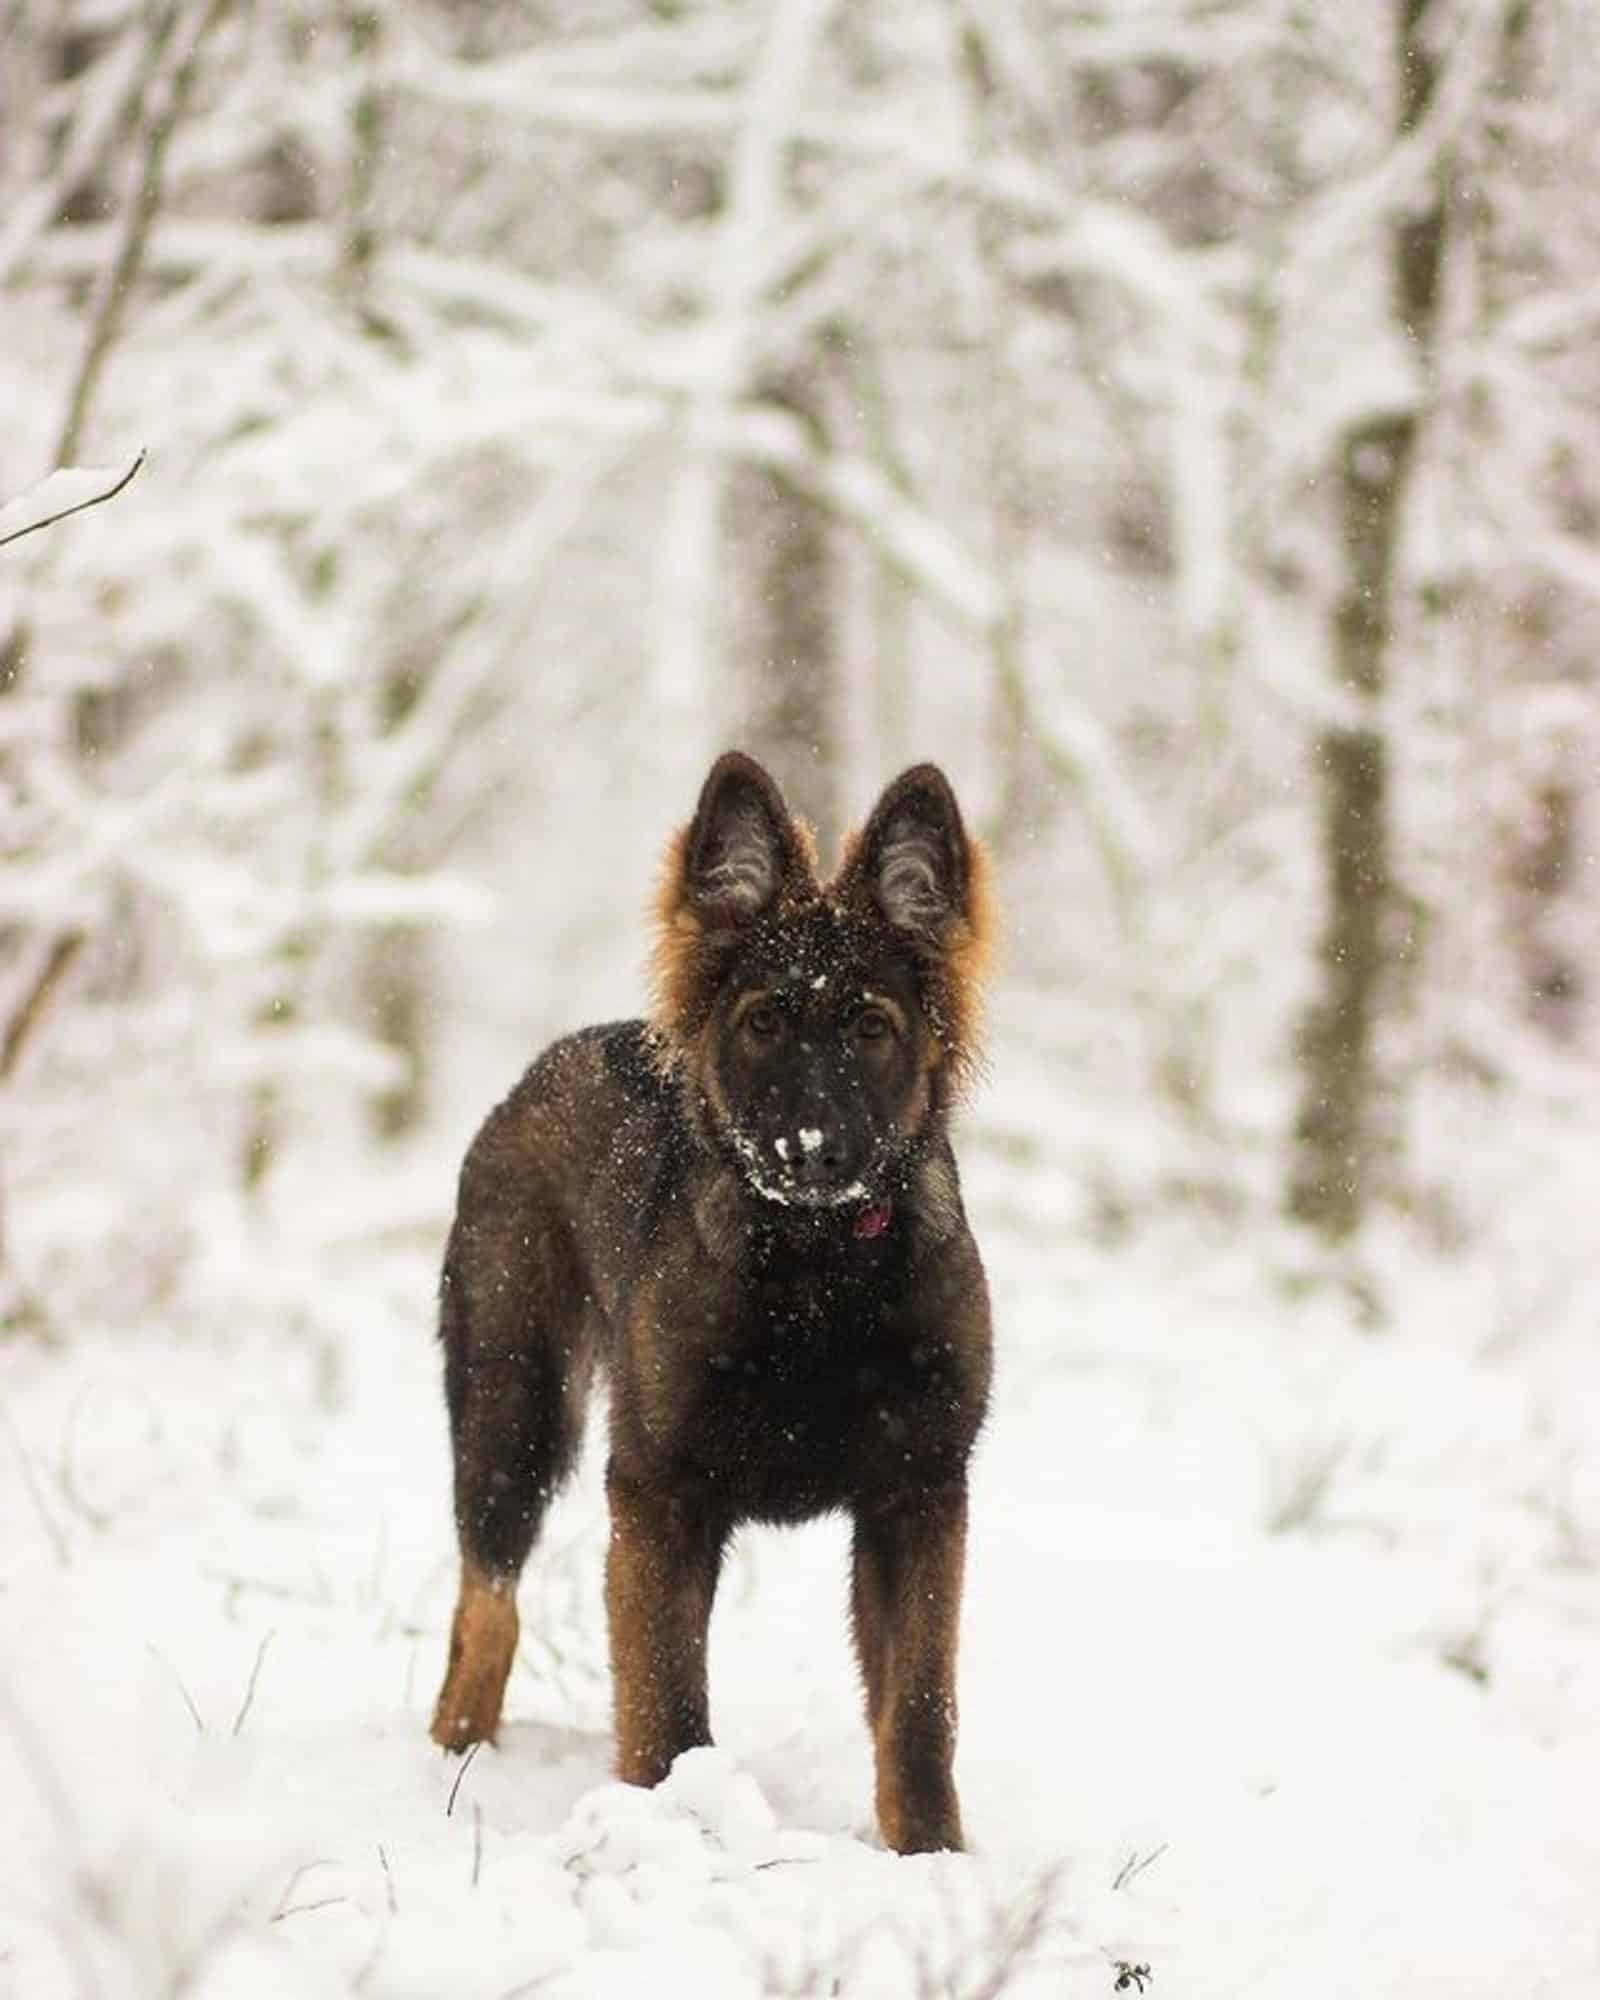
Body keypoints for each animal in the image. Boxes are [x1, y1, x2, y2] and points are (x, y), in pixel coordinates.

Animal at [432, 752, 992, 1856]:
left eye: (871, 1026)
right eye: (766, 1020)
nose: (812, 1152)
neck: (817, 1274)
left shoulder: (919, 1495)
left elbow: (918, 1711)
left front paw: (933, 1861)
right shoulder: (661, 1494)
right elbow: (665, 1701)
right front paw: (669, 1831)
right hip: (511, 1411)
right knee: (486, 1600)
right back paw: (454, 1757)